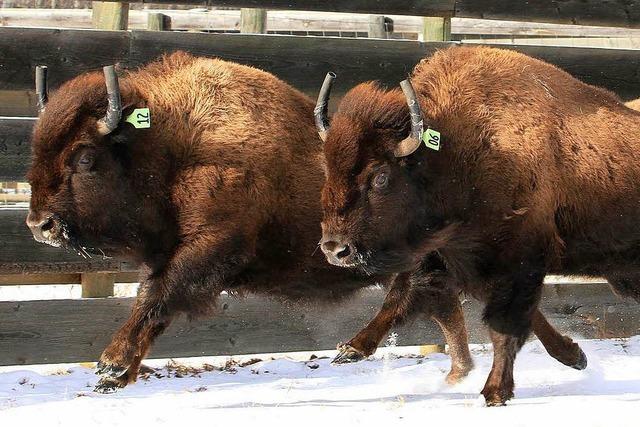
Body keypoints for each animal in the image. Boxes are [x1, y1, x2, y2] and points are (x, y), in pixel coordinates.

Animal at [26, 52, 580, 394]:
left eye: (85, 158)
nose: (39, 225)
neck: (175, 144)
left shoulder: (209, 248)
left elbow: (155, 297)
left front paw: (110, 366)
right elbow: (153, 299)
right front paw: (115, 375)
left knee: (446, 300)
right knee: (453, 304)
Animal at [318, 44, 636, 408]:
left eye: (380, 176)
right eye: (327, 168)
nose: (335, 248)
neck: (454, 153)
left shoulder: (518, 263)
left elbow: (504, 326)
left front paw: (495, 392)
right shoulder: (449, 259)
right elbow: (400, 298)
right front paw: (350, 350)